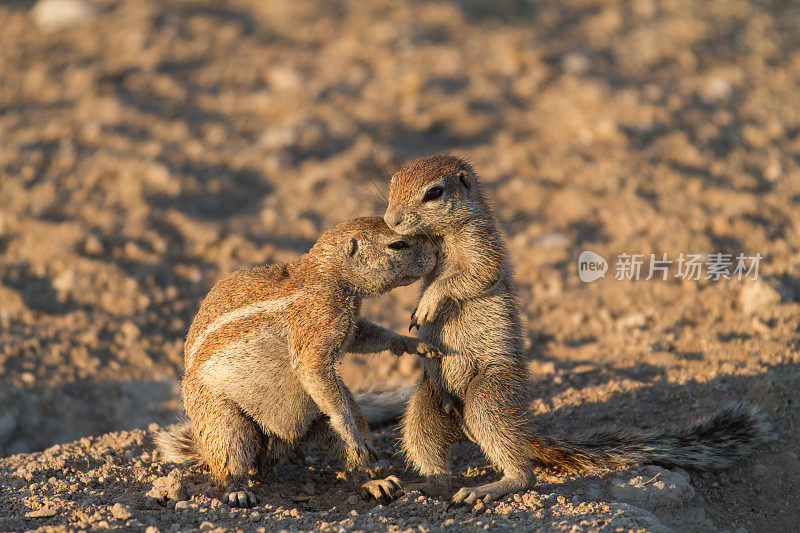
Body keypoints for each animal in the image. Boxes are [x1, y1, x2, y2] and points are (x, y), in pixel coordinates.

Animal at [156, 217, 438, 508]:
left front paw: (410, 343)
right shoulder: (319, 323)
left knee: (350, 454)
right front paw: (348, 430)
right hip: (221, 419)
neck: (329, 275)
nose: (436, 252)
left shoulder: (347, 324)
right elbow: (312, 368)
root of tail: (274, 447)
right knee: (231, 459)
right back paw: (238, 491)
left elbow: (364, 335)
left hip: (325, 409)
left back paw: (374, 482)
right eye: (398, 244)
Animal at [382, 154, 768, 502]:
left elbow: (470, 277)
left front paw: (429, 301)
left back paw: (489, 488)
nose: (390, 219)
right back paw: (425, 486)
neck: (444, 236)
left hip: (488, 396)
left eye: (434, 193)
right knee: (429, 446)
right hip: (428, 402)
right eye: (392, 182)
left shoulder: (483, 249)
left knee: (523, 471)